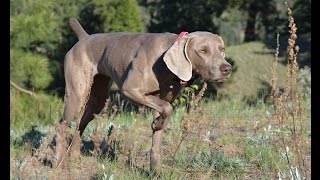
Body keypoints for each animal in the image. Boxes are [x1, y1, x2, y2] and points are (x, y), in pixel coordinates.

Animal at [55, 17, 232, 171]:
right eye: (203, 50)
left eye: (222, 50)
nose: (227, 69)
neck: (165, 64)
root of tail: (84, 38)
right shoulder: (130, 89)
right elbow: (167, 108)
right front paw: (156, 124)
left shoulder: (161, 99)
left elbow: (159, 132)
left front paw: (155, 169)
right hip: (76, 94)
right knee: (61, 125)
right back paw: (59, 163)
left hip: (99, 98)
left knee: (80, 123)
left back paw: (74, 156)